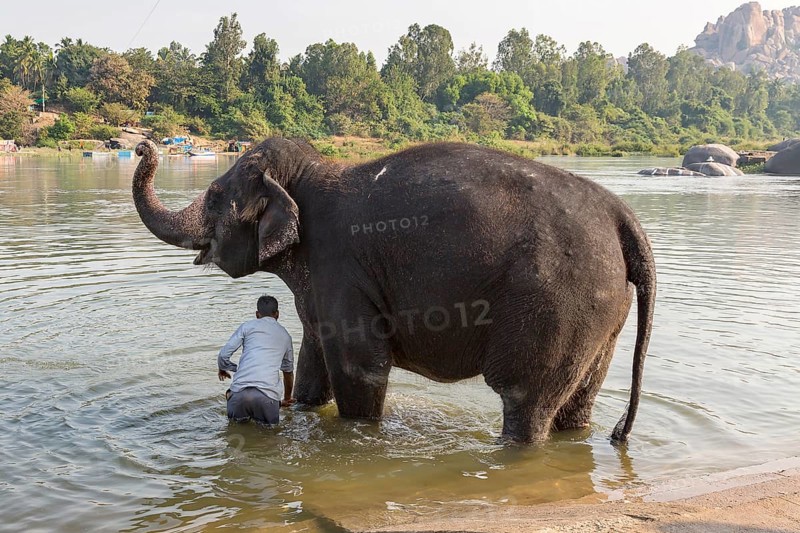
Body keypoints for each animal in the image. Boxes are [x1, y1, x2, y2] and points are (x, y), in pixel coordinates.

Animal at [132, 139, 656, 444]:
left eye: (216, 196)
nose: (141, 145)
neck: (313, 173)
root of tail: (622, 217)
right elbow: (313, 359)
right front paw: (303, 409)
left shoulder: (341, 266)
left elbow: (360, 365)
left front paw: (356, 433)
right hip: (601, 313)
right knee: (578, 401)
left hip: (558, 301)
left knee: (524, 400)